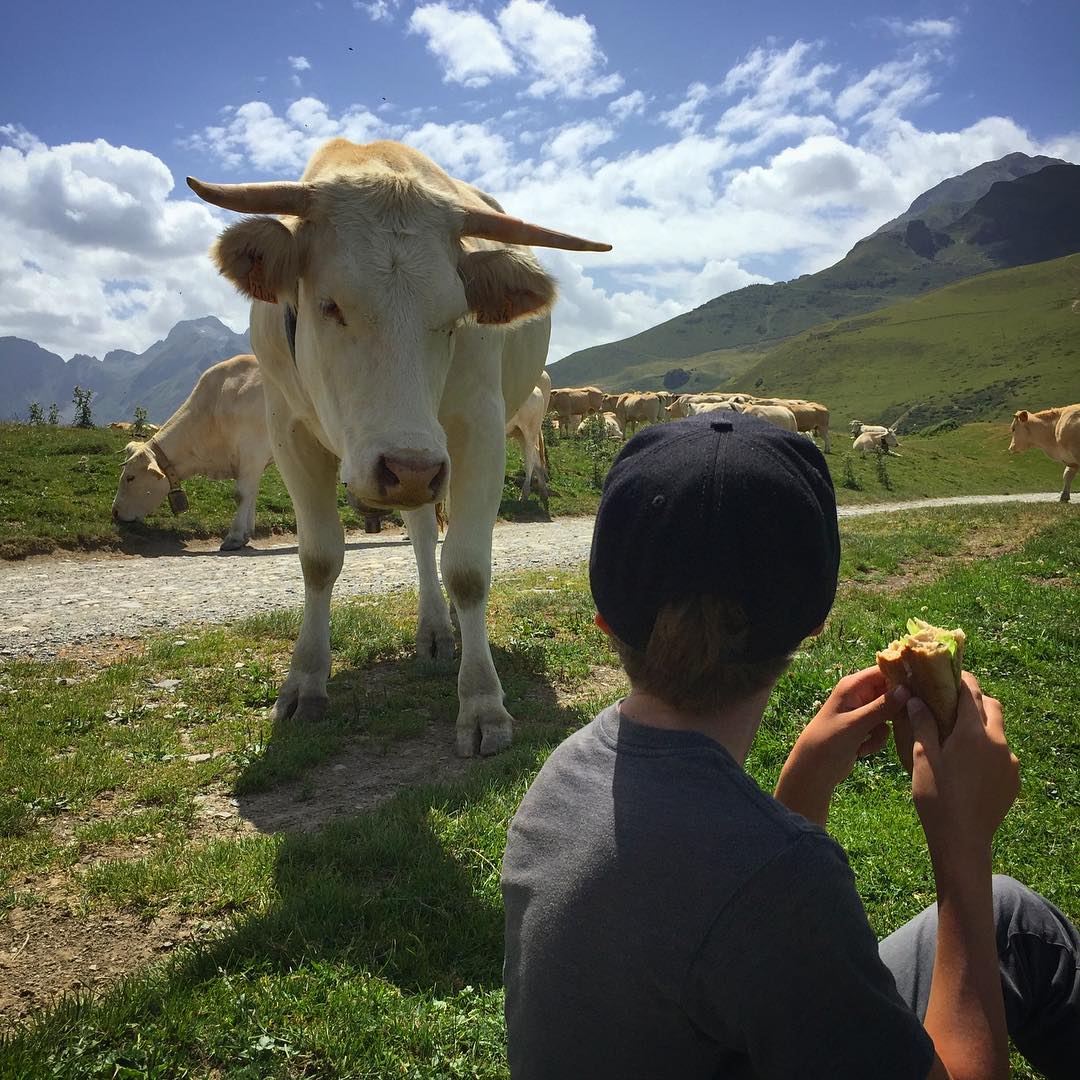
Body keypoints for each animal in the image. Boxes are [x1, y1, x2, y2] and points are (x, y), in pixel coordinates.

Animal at [111, 352, 272, 548]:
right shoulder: (252, 463)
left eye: (130, 477)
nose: (115, 512)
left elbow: (242, 495)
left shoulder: (253, 453)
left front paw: (234, 537)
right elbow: (252, 494)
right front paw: (247, 533)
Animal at [505, 367, 552, 501]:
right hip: (519, 433)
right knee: (535, 455)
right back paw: (543, 490)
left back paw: (525, 493)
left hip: (530, 431)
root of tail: (537, 390)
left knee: (530, 459)